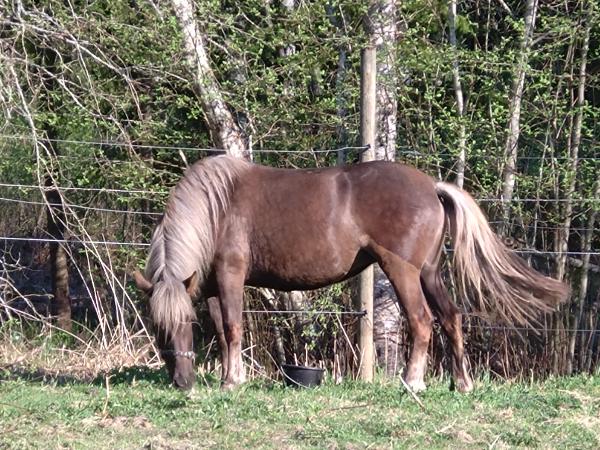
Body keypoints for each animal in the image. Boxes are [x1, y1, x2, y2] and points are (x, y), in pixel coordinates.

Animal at [133, 155, 569, 392]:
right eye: (157, 326)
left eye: (184, 322)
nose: (182, 381)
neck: (217, 208)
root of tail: (431, 186)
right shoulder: (208, 286)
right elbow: (224, 333)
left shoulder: (231, 277)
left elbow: (233, 328)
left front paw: (230, 381)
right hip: (429, 273)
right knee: (451, 317)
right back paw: (460, 382)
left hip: (402, 271)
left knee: (422, 321)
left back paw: (413, 381)